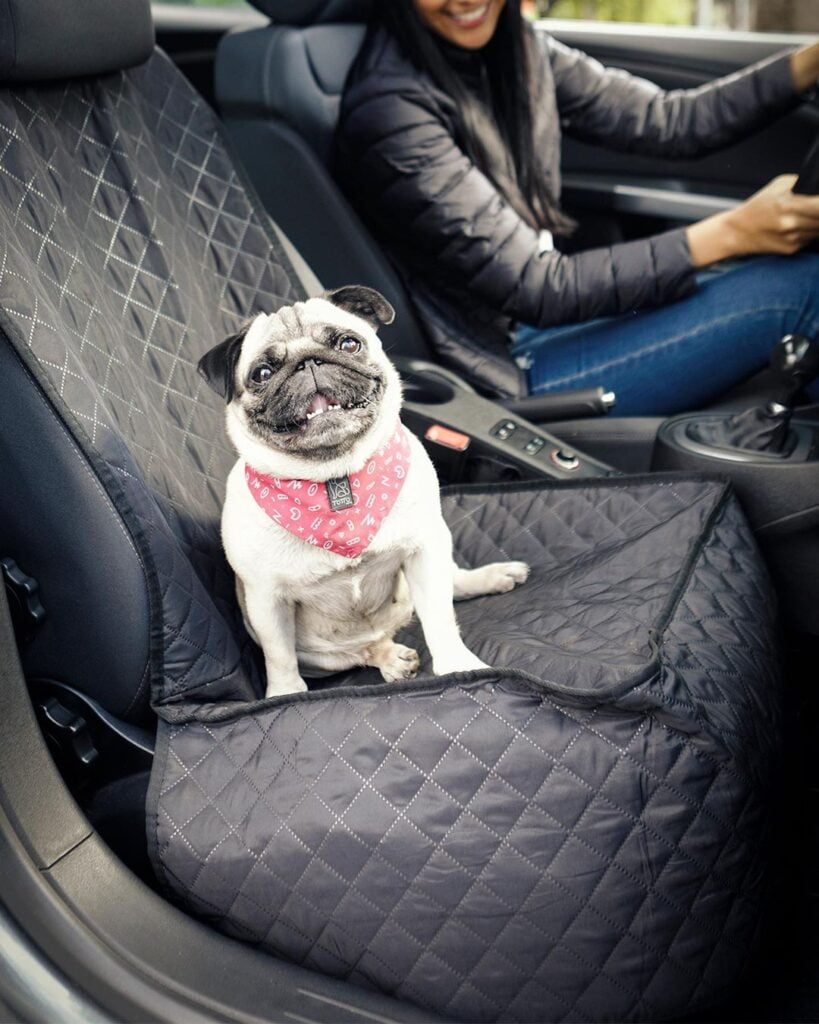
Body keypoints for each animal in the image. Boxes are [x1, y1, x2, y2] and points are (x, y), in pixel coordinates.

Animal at [199, 286, 532, 696]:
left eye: (348, 343)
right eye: (262, 373)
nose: (308, 362)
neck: (335, 478)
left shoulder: (424, 549)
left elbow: (439, 618)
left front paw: (458, 665)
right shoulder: (266, 598)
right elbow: (279, 658)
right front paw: (285, 695)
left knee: (449, 585)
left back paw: (493, 576)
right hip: (321, 656)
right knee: (361, 651)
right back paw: (391, 658)